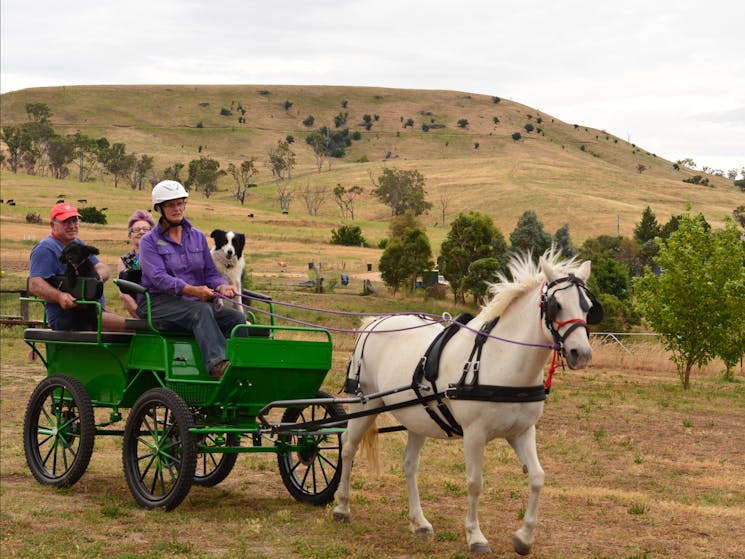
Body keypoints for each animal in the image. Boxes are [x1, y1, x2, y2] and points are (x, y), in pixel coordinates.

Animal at [334, 253, 600, 556]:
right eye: (556, 305)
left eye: (588, 306)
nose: (581, 354)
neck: (500, 359)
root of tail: (374, 323)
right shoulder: (474, 434)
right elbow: (475, 483)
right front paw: (475, 536)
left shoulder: (522, 432)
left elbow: (537, 478)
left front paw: (524, 537)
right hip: (364, 405)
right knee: (348, 448)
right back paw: (342, 507)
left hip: (419, 418)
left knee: (409, 464)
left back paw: (419, 521)